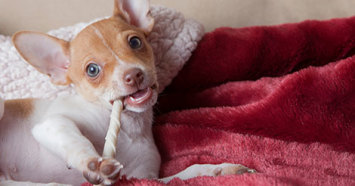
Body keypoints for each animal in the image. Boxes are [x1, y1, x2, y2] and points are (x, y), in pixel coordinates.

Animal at [0, 0, 256, 186]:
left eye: (135, 42)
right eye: (92, 70)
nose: (133, 75)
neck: (129, 128)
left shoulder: (144, 179)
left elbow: (185, 173)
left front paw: (218, 170)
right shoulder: (51, 124)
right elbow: (77, 141)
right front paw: (93, 162)